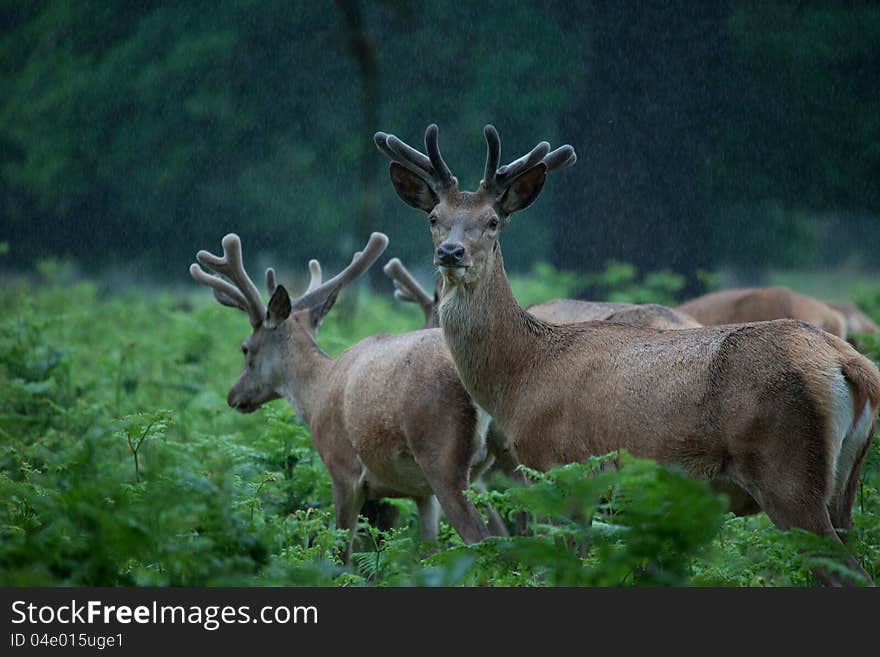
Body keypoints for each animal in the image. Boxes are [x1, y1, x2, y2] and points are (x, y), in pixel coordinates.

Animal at [192, 229, 508, 560]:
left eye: (244, 348)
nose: (233, 395)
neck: (318, 392)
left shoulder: (342, 467)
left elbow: (342, 552)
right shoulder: (421, 493)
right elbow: (428, 553)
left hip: (442, 455)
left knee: (484, 539)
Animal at [372, 123, 880, 584]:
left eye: (492, 221)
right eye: (434, 217)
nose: (451, 252)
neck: (521, 375)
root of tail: (852, 365)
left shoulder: (562, 473)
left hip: (786, 471)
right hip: (844, 483)